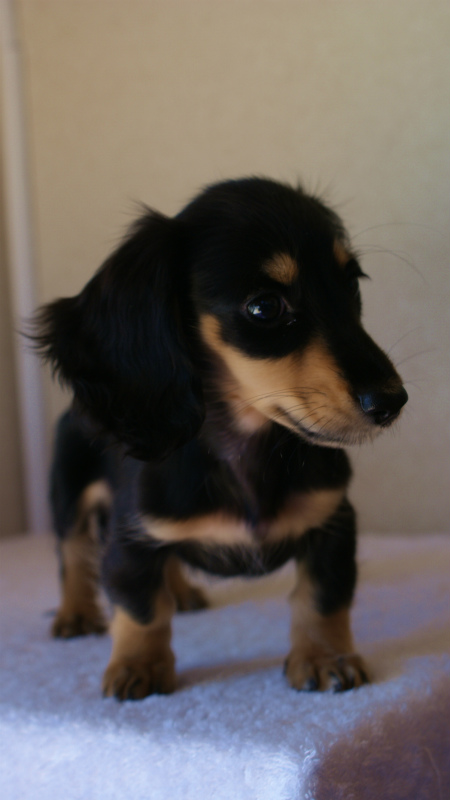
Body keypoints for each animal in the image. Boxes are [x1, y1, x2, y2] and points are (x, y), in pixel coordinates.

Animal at [34, 177, 408, 700]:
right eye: (264, 307)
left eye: (351, 284)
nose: (392, 401)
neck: (245, 449)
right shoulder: (132, 535)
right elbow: (141, 607)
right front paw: (138, 665)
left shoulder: (333, 523)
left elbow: (322, 597)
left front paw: (324, 657)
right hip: (68, 489)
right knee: (70, 549)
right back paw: (76, 612)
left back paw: (182, 591)